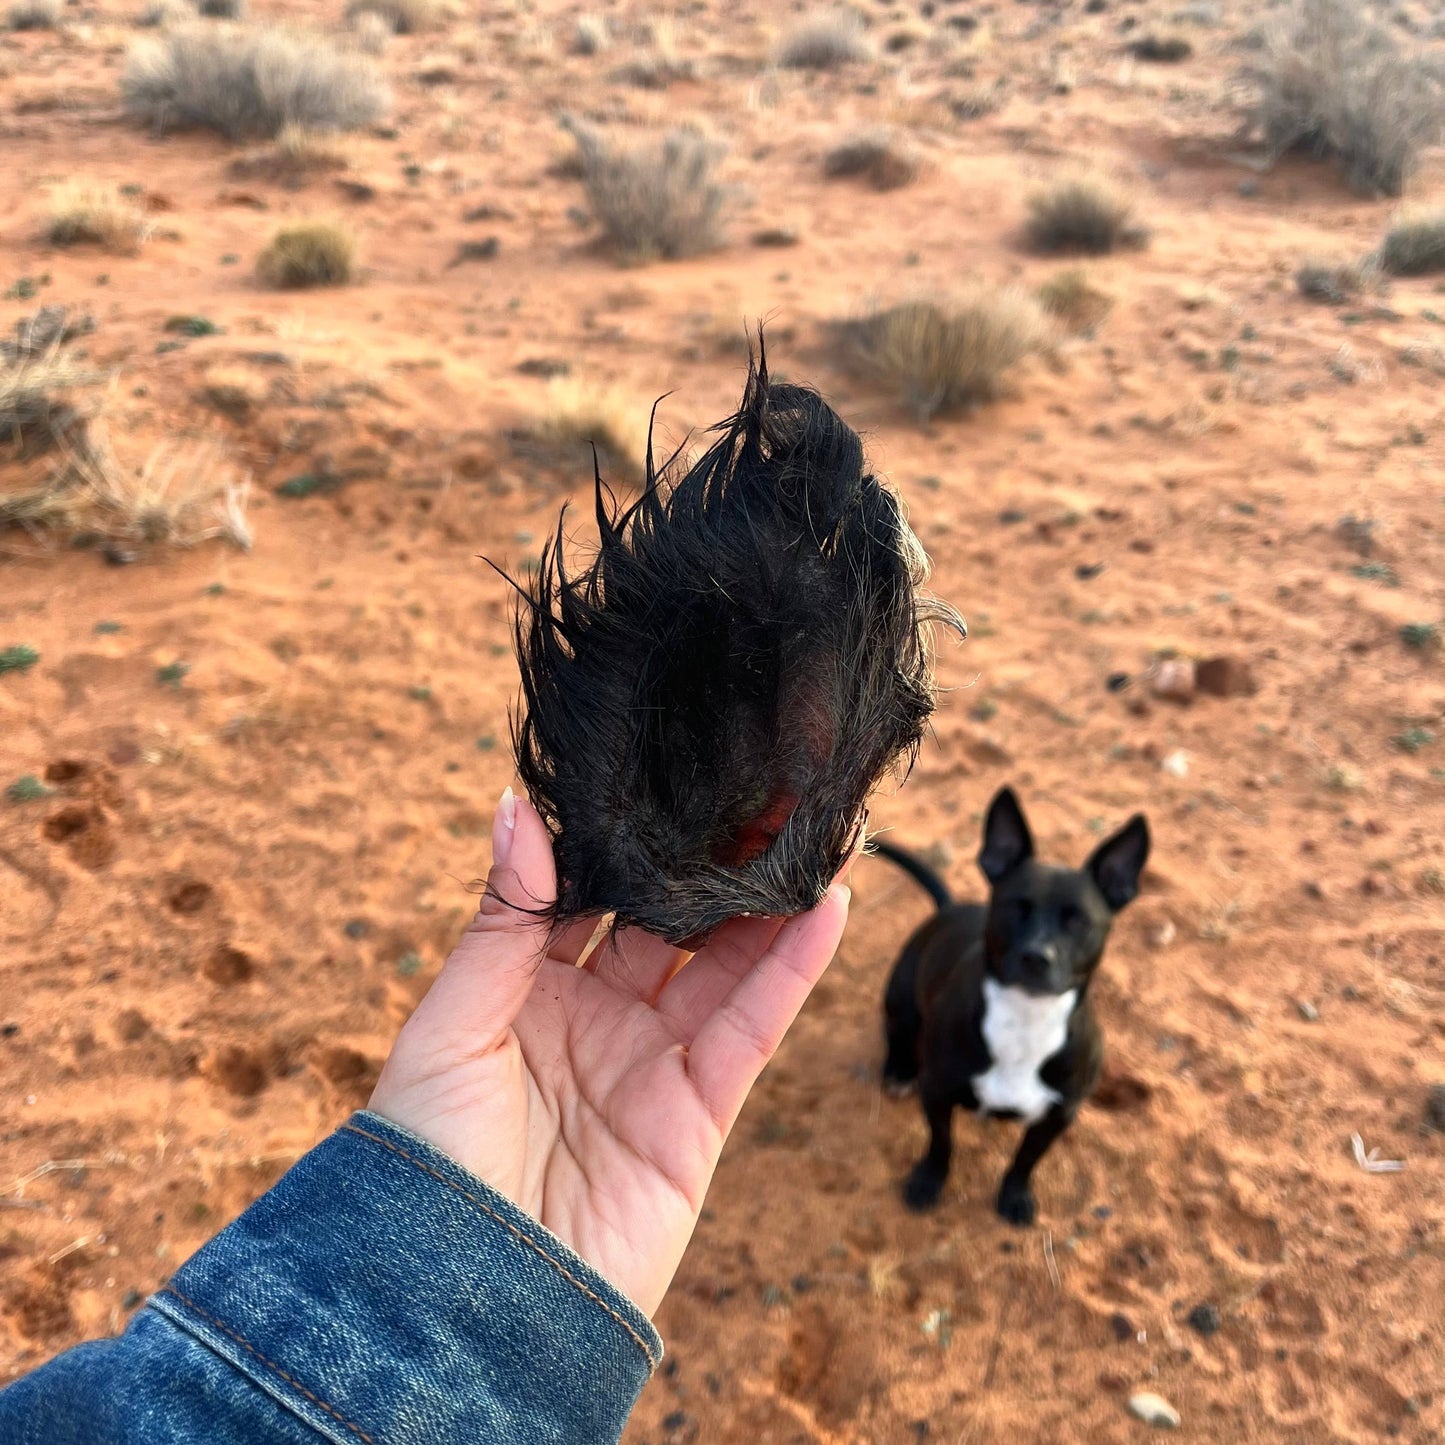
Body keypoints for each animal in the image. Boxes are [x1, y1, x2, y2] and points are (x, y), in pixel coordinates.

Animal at [872, 786, 1144, 1225]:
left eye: (1079, 921)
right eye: (1015, 906)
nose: (1037, 957)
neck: (1025, 1020)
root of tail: (949, 907)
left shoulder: (1058, 1116)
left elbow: (1025, 1161)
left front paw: (1015, 1196)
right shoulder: (937, 1092)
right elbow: (941, 1143)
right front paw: (928, 1181)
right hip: (900, 998)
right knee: (897, 1031)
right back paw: (898, 1070)